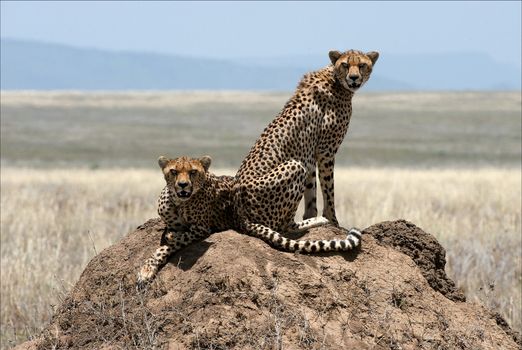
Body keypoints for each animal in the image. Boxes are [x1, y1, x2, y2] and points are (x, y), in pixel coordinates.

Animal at [136, 156, 360, 284]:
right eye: (173, 171)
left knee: (287, 225)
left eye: (193, 172)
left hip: (293, 170)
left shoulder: (201, 228)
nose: (182, 185)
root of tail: (242, 217)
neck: (178, 202)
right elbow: (168, 234)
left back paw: (319, 219)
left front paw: (146, 270)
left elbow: (167, 245)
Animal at [236, 48, 378, 224]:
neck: (336, 80)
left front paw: (312, 215)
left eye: (361, 65)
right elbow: (328, 188)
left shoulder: (309, 153)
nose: (353, 77)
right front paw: (332, 220)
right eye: (345, 65)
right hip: (294, 166)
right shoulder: (325, 152)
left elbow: (311, 191)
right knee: (283, 224)